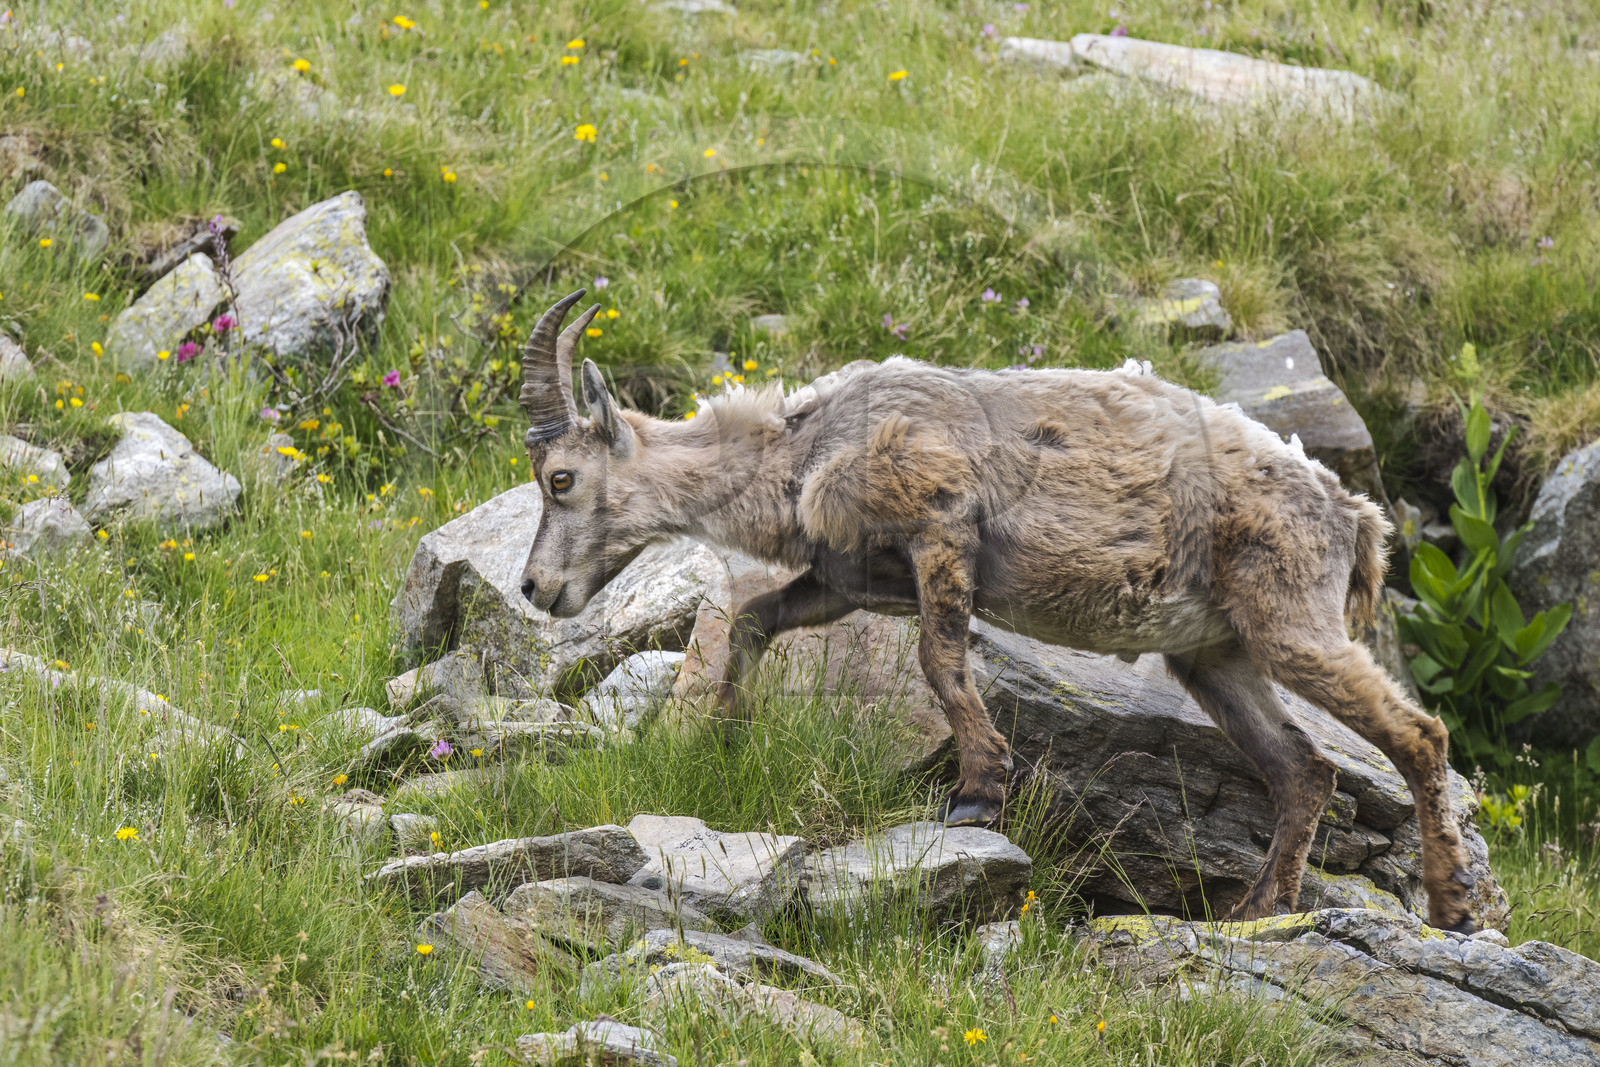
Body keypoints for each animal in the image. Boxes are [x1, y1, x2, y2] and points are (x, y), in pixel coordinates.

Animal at [514, 289, 1477, 932]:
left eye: (560, 477)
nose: (532, 589)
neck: (804, 450)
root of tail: (1356, 517)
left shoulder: (942, 527)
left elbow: (940, 660)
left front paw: (979, 790)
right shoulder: (848, 580)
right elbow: (754, 618)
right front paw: (720, 736)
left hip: (1288, 618)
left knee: (1418, 732)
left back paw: (1451, 902)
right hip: (1218, 655)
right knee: (1304, 768)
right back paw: (1262, 906)